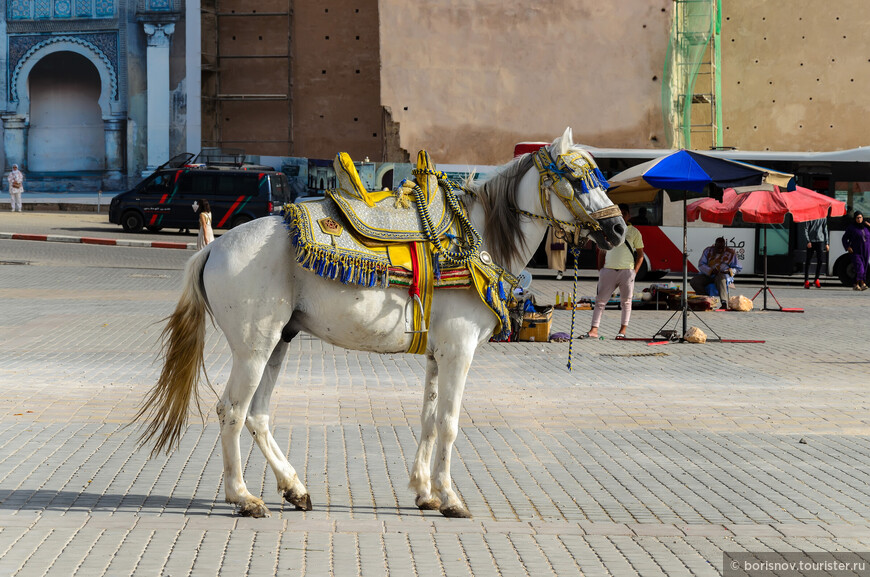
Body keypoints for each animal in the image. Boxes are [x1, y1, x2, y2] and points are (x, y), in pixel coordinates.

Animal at [138, 127, 628, 516]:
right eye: (578, 179)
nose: (619, 229)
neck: (474, 241)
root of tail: (213, 247)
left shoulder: (437, 354)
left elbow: (429, 418)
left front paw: (425, 492)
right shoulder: (459, 350)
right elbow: (449, 422)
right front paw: (450, 498)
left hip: (278, 342)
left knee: (258, 415)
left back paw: (294, 488)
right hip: (253, 348)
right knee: (233, 412)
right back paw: (242, 497)